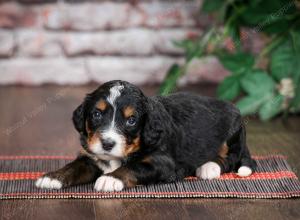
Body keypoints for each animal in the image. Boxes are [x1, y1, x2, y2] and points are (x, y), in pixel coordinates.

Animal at [35, 80, 255, 192]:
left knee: (231, 158)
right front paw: (52, 177)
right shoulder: (91, 157)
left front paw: (111, 179)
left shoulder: (162, 162)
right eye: (96, 114)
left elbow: (133, 167)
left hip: (233, 133)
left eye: (131, 120)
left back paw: (209, 167)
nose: (107, 143)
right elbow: (74, 166)